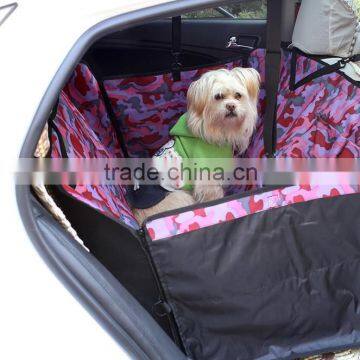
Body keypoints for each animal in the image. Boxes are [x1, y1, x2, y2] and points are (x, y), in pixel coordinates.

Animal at [134, 66, 260, 224]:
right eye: (218, 97)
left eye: (238, 95)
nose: (231, 106)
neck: (217, 129)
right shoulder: (207, 177)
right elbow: (213, 195)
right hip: (181, 196)